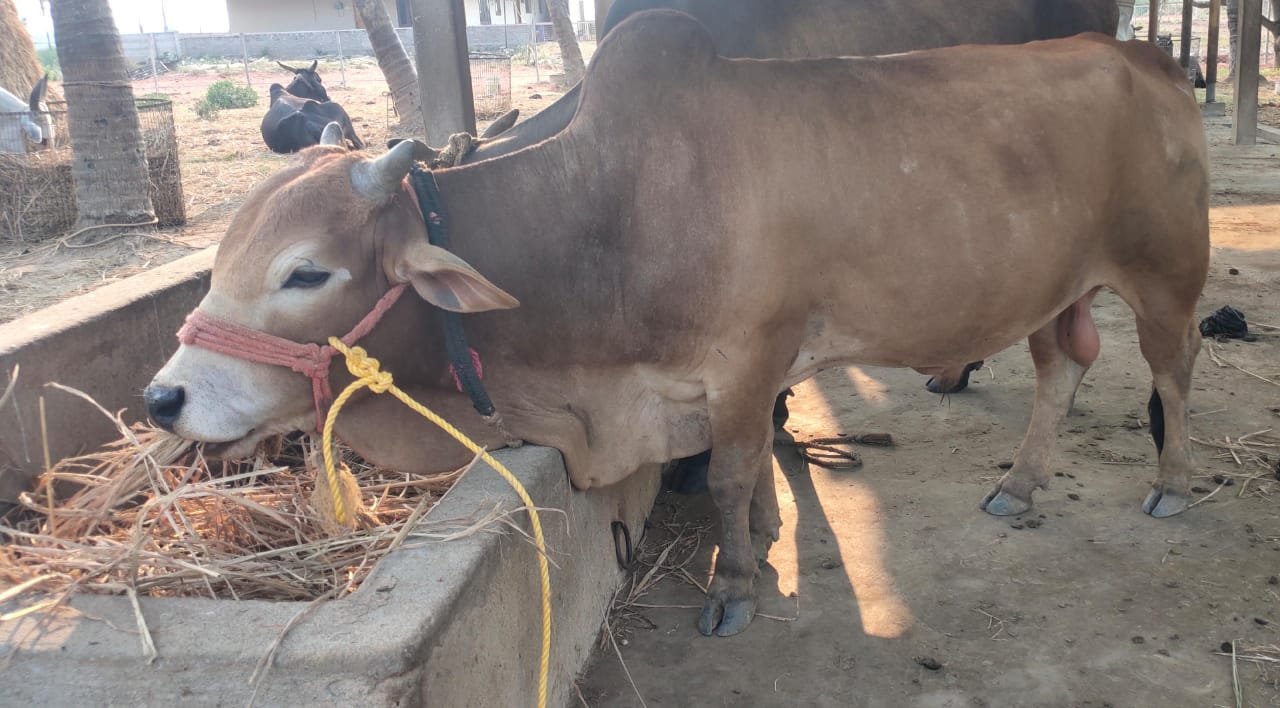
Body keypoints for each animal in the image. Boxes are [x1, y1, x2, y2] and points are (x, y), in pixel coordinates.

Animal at [147, 13, 1209, 638]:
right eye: (223, 257)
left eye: (305, 271)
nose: (164, 397)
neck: (609, 209)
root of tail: (1143, 54)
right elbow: (748, 469)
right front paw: (756, 550)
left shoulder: (747, 362)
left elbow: (734, 473)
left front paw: (733, 586)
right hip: (1058, 287)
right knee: (1062, 366)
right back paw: (1019, 486)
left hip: (1166, 273)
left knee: (1172, 367)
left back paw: (1172, 484)